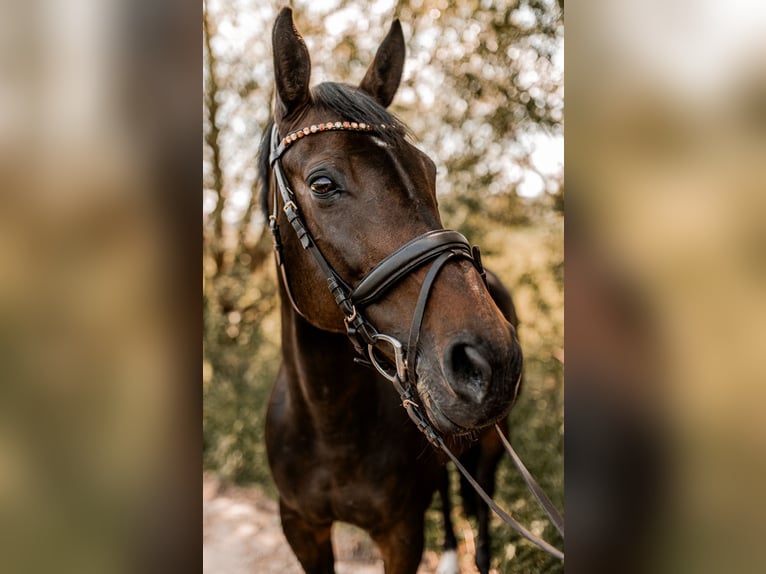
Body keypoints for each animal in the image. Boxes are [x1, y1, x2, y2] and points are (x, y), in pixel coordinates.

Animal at [260, 9, 524, 574]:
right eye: (322, 184)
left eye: (429, 171)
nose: (492, 359)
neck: (329, 423)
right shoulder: (302, 529)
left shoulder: (400, 535)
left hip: (492, 448)